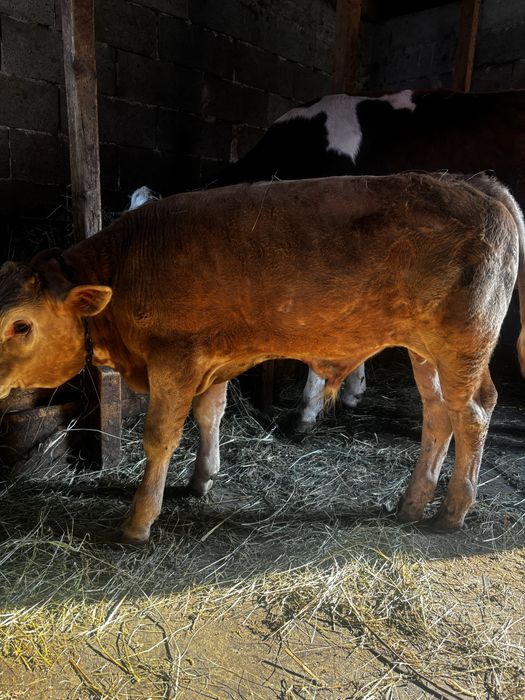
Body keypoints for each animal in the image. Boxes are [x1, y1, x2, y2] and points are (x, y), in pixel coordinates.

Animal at [1, 172, 523, 544]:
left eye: (20, 325)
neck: (128, 267)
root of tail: (478, 184)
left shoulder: (176, 358)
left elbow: (160, 436)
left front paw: (139, 519)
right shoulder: (210, 360)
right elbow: (209, 414)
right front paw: (201, 479)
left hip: (463, 345)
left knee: (471, 415)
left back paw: (453, 510)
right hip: (425, 351)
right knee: (438, 414)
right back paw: (413, 502)